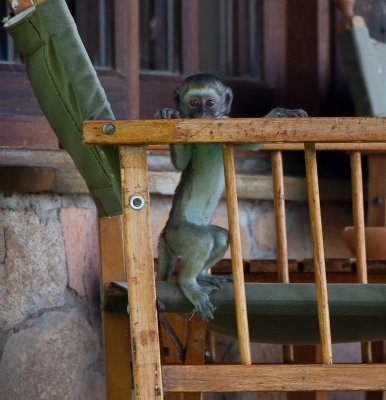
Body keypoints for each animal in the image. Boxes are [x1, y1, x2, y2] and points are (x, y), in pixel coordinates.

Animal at [155, 73, 306, 320]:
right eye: (194, 103)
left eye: (210, 103)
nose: (202, 114)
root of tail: (165, 233)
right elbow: (181, 163)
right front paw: (168, 115)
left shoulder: (226, 121)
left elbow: (251, 142)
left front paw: (278, 114)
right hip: (178, 231)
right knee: (202, 240)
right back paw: (188, 283)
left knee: (220, 237)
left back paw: (201, 276)